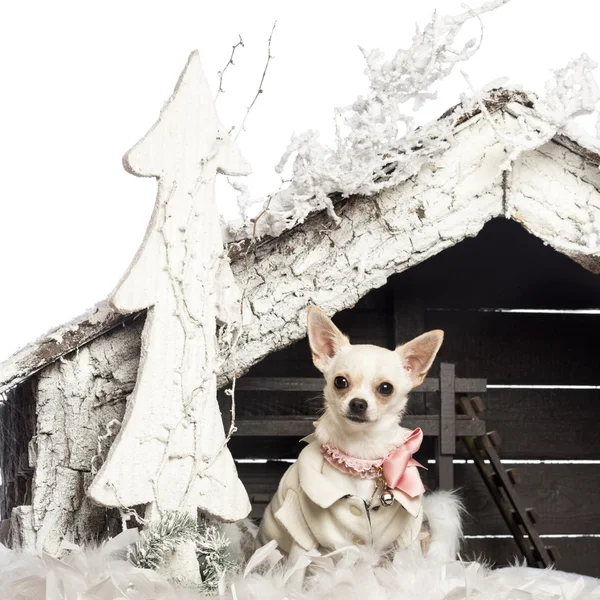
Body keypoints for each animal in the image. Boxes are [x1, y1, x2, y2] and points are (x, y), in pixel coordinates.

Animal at [258, 308, 464, 576]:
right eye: (340, 382)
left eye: (386, 388)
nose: (358, 403)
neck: (361, 454)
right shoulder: (302, 538)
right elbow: (295, 573)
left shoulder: (408, 536)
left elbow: (408, 566)